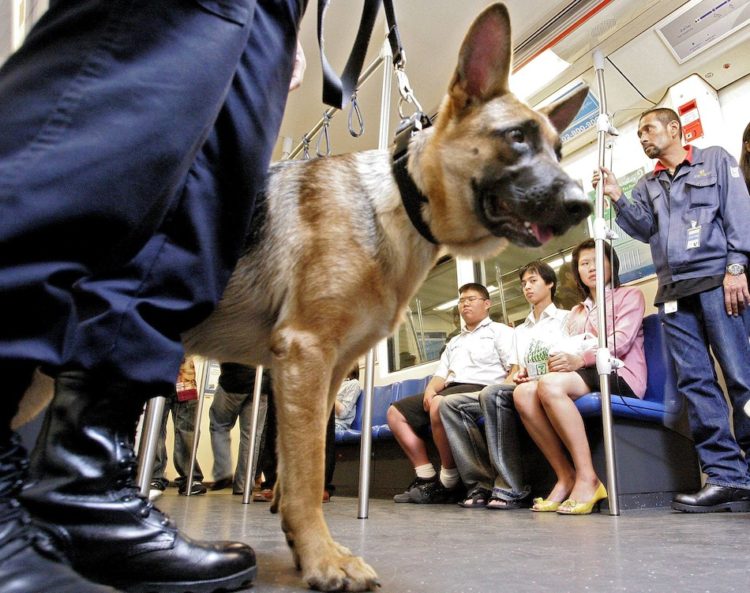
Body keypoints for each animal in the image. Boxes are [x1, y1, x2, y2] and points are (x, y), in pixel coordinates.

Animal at [14, 2, 592, 588]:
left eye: (557, 148)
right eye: (517, 138)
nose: (583, 204)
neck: (399, 201)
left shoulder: (321, 373)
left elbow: (302, 468)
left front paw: (304, 545)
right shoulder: (306, 356)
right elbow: (307, 471)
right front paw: (322, 559)